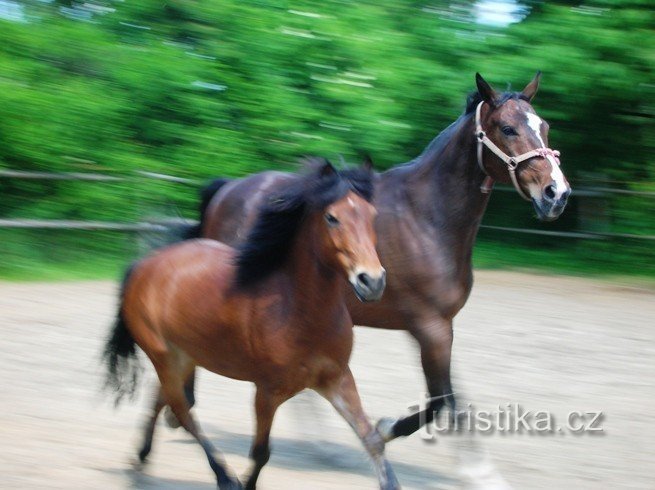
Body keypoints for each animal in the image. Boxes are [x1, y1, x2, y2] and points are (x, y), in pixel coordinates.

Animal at [105, 162, 400, 490]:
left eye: (372, 215)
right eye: (332, 217)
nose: (372, 281)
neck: (298, 310)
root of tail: (144, 264)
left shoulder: (337, 379)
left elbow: (372, 439)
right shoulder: (267, 392)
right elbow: (261, 453)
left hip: (184, 357)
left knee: (164, 400)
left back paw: (140, 460)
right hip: (164, 356)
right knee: (181, 410)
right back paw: (222, 476)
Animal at [172, 71, 572, 442]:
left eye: (545, 127)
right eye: (507, 129)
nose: (557, 193)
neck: (426, 217)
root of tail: (228, 189)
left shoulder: (440, 327)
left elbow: (450, 400)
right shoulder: (429, 326)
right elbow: (440, 400)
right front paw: (386, 429)